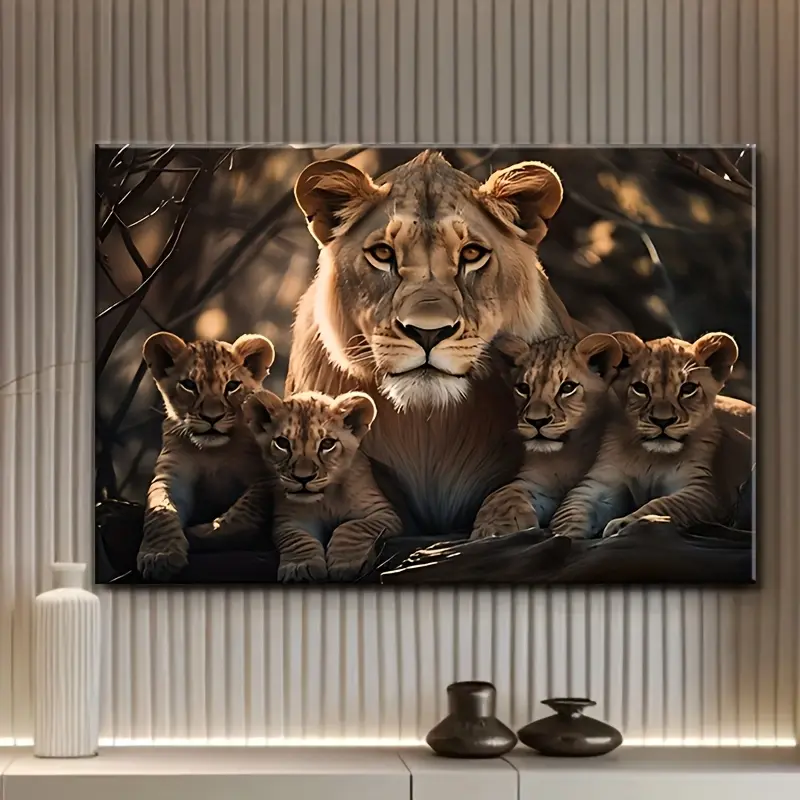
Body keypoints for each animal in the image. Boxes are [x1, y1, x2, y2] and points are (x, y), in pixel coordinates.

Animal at [137, 332, 277, 581]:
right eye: (189, 385)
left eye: (232, 385)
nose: (212, 417)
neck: (212, 452)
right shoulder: (171, 475)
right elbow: (159, 510)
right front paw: (159, 555)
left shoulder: (268, 478)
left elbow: (245, 512)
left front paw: (199, 533)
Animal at [244, 389, 403, 583]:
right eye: (282, 443)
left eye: (327, 444)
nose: (303, 478)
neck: (326, 498)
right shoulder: (289, 521)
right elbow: (296, 539)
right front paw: (300, 568)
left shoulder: (385, 513)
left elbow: (352, 527)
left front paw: (346, 563)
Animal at [470, 332, 622, 539]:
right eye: (523, 388)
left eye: (568, 387)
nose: (537, 421)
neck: (569, 452)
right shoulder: (536, 480)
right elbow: (503, 493)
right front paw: (493, 528)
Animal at [549, 331, 755, 540]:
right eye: (641, 388)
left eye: (688, 389)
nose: (662, 421)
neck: (652, 456)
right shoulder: (601, 481)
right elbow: (571, 510)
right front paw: (561, 536)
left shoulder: (703, 490)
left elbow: (663, 505)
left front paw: (623, 525)